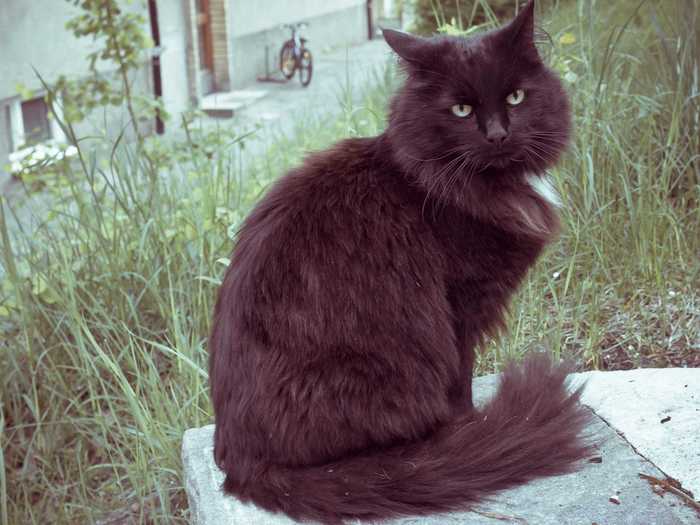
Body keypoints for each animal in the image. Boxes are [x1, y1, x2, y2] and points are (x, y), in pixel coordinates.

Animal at [208, 2, 592, 520]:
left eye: (515, 97)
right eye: (461, 109)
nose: (497, 135)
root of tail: (240, 464)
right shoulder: (459, 308)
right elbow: (461, 379)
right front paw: (470, 425)